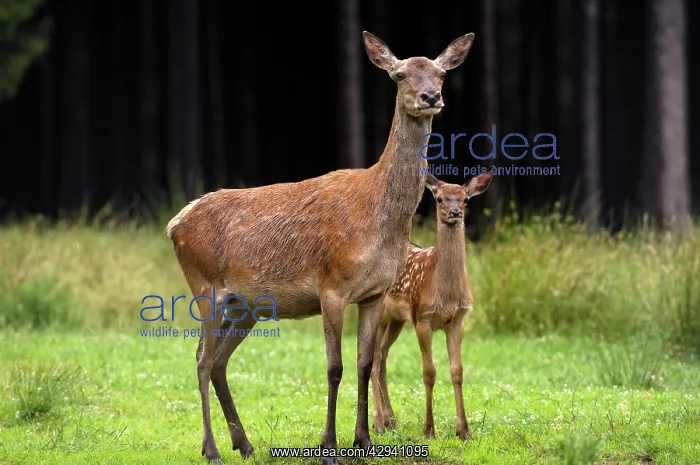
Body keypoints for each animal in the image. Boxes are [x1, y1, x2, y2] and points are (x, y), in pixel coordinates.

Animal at [165, 31, 475, 465]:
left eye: (442, 73)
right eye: (399, 75)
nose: (430, 96)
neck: (379, 221)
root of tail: (175, 223)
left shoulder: (375, 292)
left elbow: (364, 363)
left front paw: (363, 441)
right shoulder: (332, 286)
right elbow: (334, 368)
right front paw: (329, 446)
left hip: (245, 305)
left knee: (218, 362)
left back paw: (244, 444)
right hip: (204, 286)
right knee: (200, 359)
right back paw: (212, 449)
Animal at [371, 171, 493, 441]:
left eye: (465, 199)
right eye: (439, 198)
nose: (455, 212)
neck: (444, 291)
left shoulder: (457, 320)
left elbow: (457, 371)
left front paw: (463, 430)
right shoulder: (422, 318)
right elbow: (429, 372)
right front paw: (429, 430)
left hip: (396, 320)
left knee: (381, 357)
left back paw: (390, 421)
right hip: (379, 312)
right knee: (371, 359)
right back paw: (379, 424)